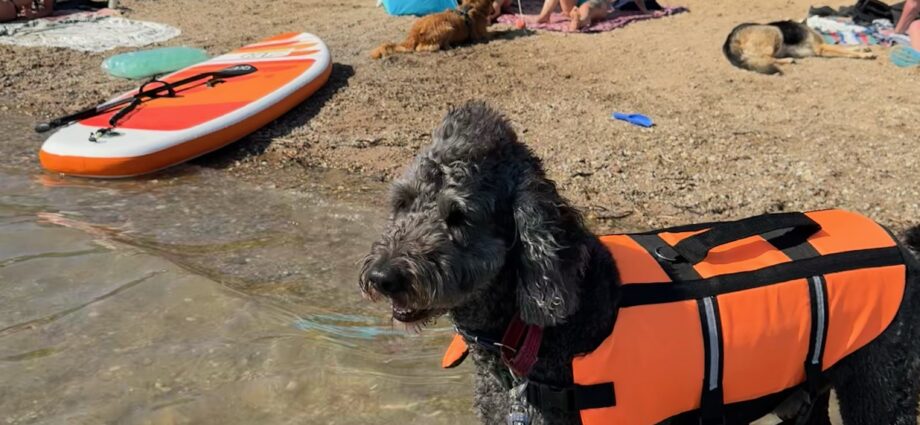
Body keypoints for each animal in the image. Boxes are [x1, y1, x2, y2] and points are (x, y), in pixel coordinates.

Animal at [359, 101, 920, 424]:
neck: (527, 331)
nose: (384, 278)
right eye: (402, 203)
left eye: (459, 217)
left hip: (881, 393)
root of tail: (904, 245)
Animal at [723, 21, 876, 74]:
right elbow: (846, 50)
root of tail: (731, 37)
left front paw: (863, 48)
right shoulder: (822, 48)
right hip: (775, 31)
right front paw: (865, 54)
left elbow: (849, 47)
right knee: (765, 58)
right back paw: (788, 60)